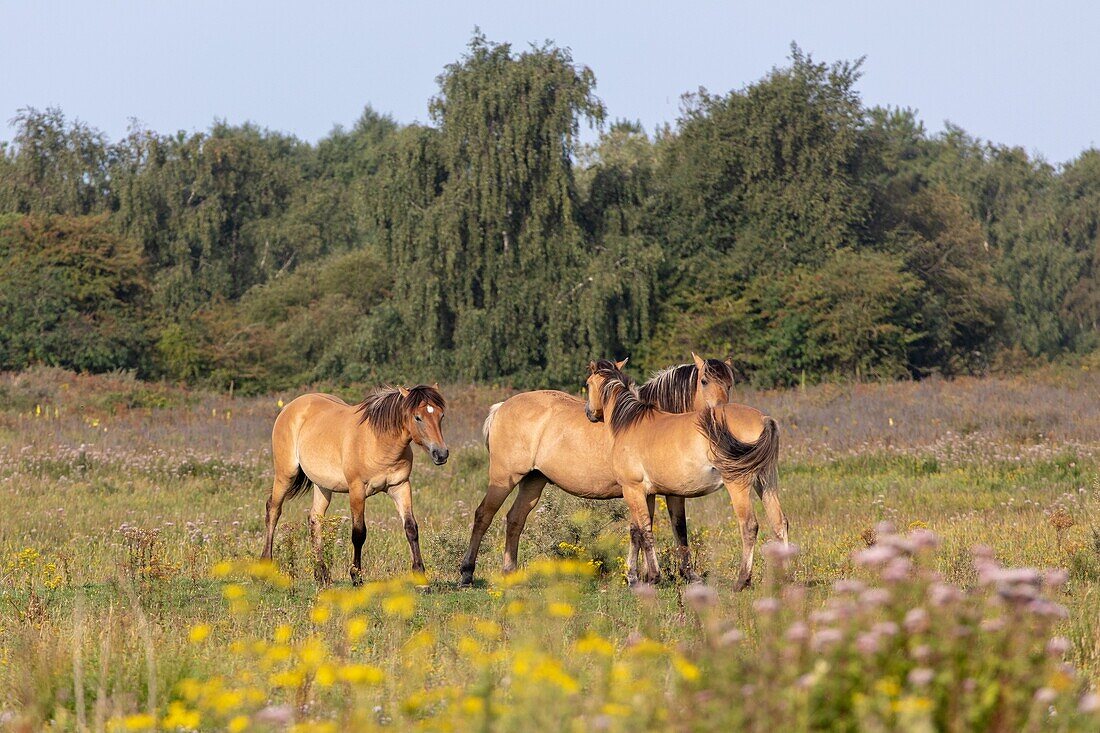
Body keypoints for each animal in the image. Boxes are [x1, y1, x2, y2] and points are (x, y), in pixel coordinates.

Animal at [260, 383, 446, 581]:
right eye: (417, 417)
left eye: (441, 415)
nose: (441, 454)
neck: (378, 441)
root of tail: (289, 407)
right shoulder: (357, 490)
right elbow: (359, 534)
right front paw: (356, 576)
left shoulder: (400, 486)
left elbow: (411, 528)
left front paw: (419, 574)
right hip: (285, 474)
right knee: (273, 510)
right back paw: (265, 563)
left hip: (322, 485)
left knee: (315, 518)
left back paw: (321, 573)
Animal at [459, 352, 734, 585]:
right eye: (704, 381)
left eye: (730, 383)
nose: (723, 412)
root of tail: (501, 407)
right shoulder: (654, 491)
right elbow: (662, 528)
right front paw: (656, 576)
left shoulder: (654, 492)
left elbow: (651, 529)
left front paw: (648, 576)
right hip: (504, 477)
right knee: (483, 515)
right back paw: (467, 573)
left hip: (533, 480)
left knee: (515, 519)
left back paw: (510, 572)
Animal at [580, 356, 787, 585]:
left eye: (587, 383)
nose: (589, 412)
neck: (630, 422)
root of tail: (764, 419)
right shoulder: (648, 493)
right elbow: (641, 530)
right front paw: (642, 576)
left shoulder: (633, 490)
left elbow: (645, 530)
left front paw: (651, 576)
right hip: (766, 481)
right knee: (779, 522)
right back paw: (786, 576)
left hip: (738, 484)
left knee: (749, 526)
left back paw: (742, 581)